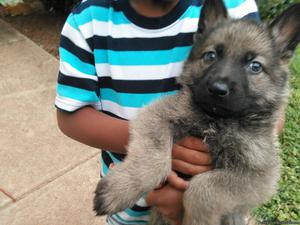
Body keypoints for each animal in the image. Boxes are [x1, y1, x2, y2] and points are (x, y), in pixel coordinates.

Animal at [94, 0, 300, 223]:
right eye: (211, 56)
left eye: (255, 66)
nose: (217, 89)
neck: (217, 120)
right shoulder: (158, 114)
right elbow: (155, 158)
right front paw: (121, 189)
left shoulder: (261, 177)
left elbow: (203, 187)